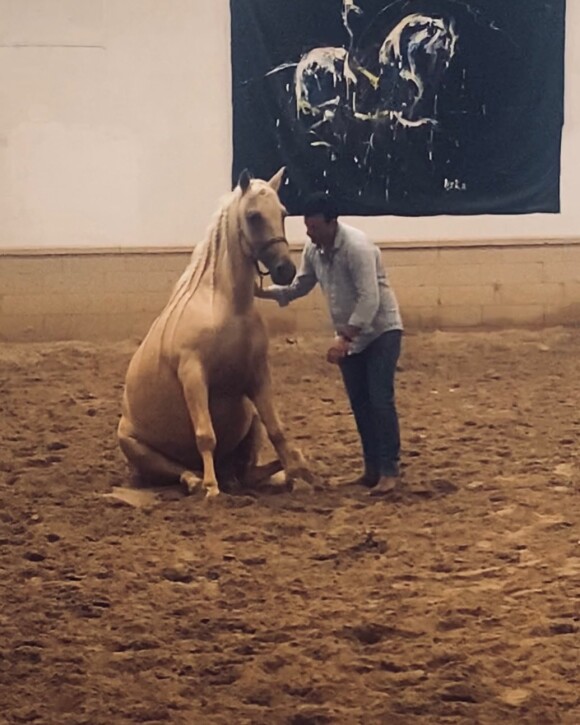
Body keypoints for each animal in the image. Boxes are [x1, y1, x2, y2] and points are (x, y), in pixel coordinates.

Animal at [115, 169, 310, 498]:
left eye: (283, 213)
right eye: (254, 216)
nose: (286, 270)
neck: (225, 305)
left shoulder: (258, 374)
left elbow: (277, 429)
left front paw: (300, 471)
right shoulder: (193, 374)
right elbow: (206, 435)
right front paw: (211, 488)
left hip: (250, 424)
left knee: (245, 473)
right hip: (134, 446)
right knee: (179, 469)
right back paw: (198, 480)